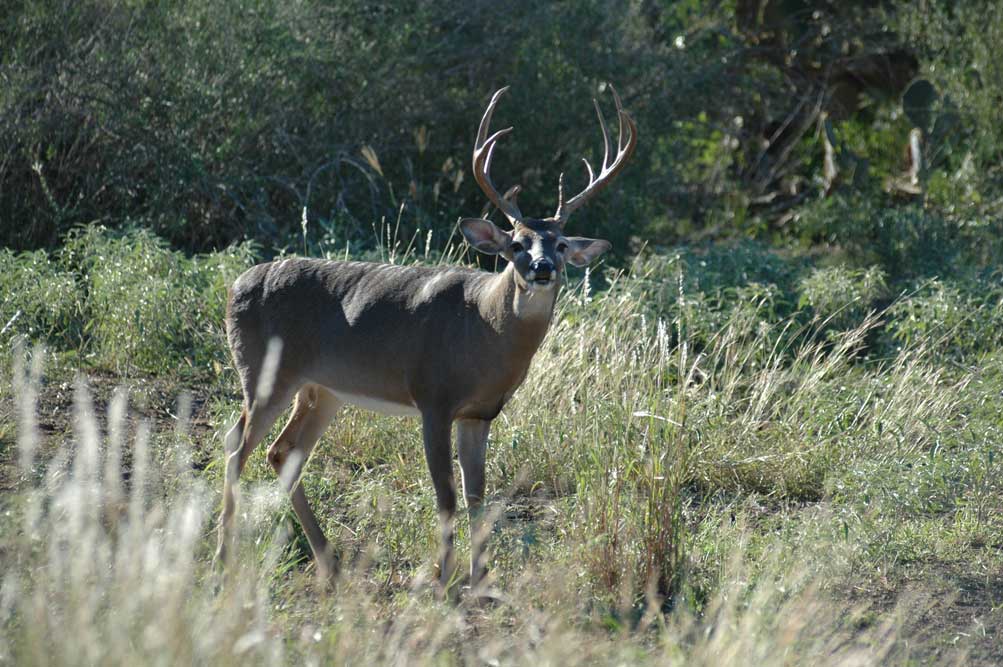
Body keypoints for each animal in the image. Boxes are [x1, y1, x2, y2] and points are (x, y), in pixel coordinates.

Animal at [215, 83, 637, 589]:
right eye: (516, 243)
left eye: (561, 243)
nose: (541, 267)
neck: (485, 330)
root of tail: (235, 286)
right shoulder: (433, 397)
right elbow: (447, 495)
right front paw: (443, 581)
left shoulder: (480, 413)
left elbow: (478, 496)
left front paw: (481, 580)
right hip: (265, 373)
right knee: (236, 444)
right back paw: (224, 557)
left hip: (321, 389)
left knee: (282, 452)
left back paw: (329, 562)